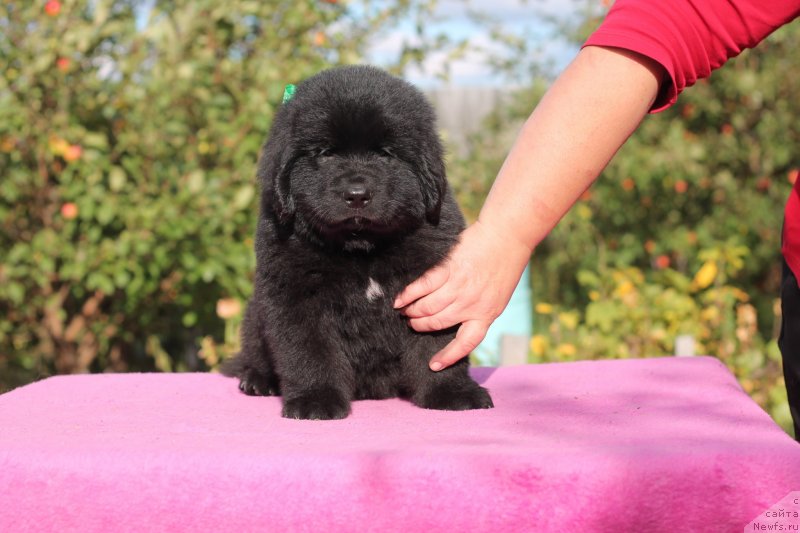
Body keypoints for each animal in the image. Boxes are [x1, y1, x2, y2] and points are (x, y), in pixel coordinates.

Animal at [222, 64, 490, 418]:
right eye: (325, 153)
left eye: (386, 153)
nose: (357, 194)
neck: (362, 248)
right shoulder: (295, 294)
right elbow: (308, 352)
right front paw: (315, 400)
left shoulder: (434, 292)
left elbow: (437, 349)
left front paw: (450, 392)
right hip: (255, 316)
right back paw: (256, 379)